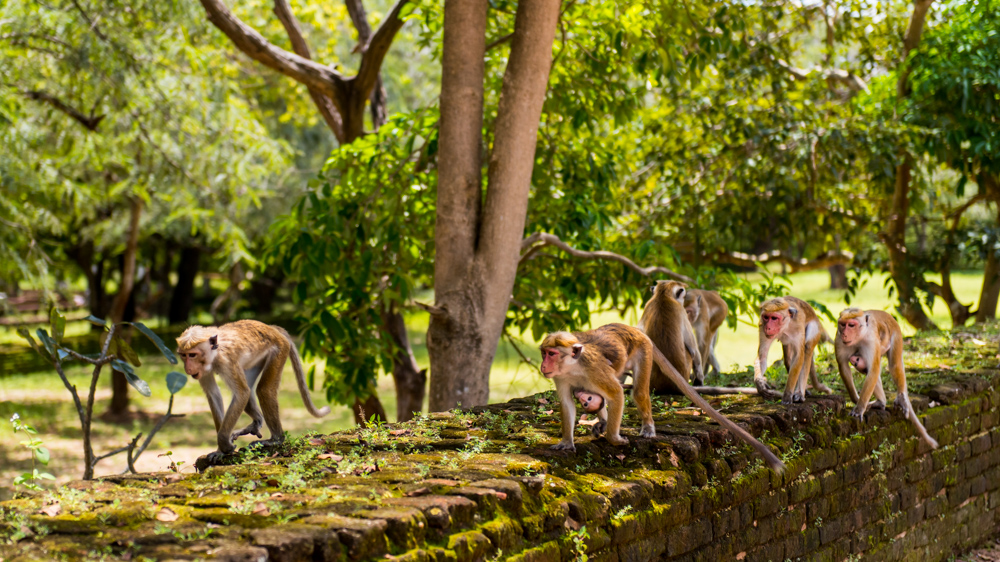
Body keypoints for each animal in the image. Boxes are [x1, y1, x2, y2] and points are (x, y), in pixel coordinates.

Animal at [178, 318, 334, 462]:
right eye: (183, 355)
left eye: (192, 355)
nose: (188, 369)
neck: (215, 354)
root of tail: (272, 328)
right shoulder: (203, 371)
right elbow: (214, 394)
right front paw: (220, 450)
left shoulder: (227, 361)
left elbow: (242, 393)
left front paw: (224, 443)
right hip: (256, 360)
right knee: (249, 392)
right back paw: (256, 422)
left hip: (280, 349)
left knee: (263, 390)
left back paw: (276, 439)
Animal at [540, 322, 780, 470]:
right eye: (544, 353)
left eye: (551, 354)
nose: (543, 366)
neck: (573, 367)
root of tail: (634, 329)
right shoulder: (561, 378)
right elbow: (567, 404)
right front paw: (567, 441)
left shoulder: (594, 370)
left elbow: (616, 394)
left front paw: (614, 438)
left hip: (643, 350)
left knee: (637, 392)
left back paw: (647, 426)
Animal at [836, 306, 936, 446]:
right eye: (842, 325)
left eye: (851, 325)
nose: (845, 334)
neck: (859, 337)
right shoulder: (839, 340)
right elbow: (844, 367)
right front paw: (856, 399)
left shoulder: (871, 341)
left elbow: (874, 370)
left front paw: (859, 408)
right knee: (867, 368)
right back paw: (881, 401)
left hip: (896, 333)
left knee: (893, 365)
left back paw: (901, 398)